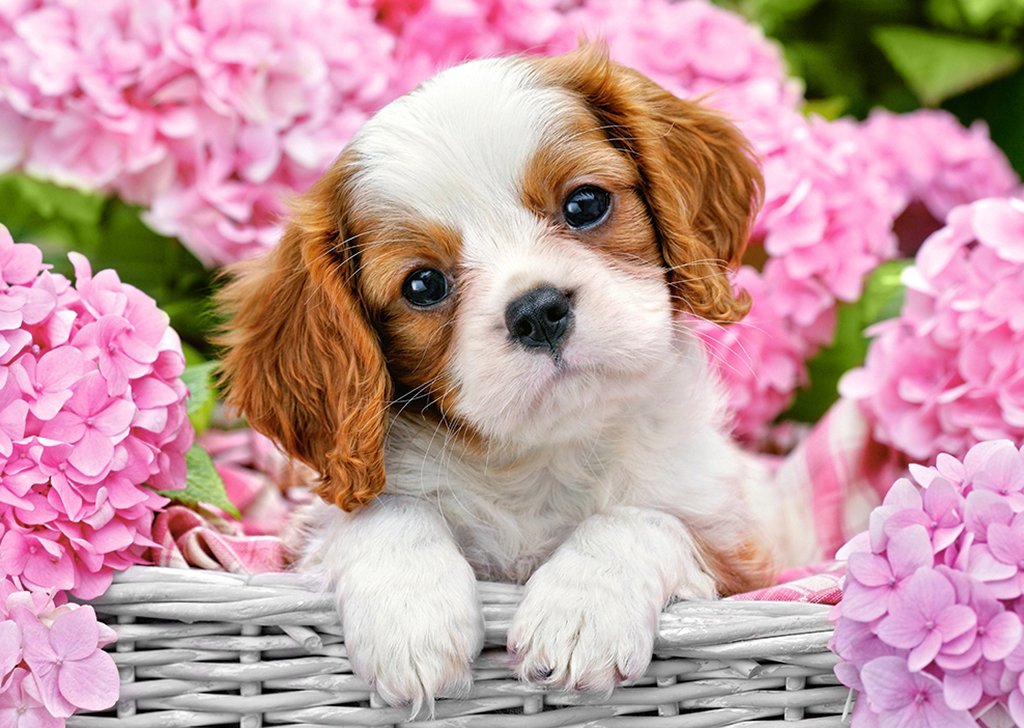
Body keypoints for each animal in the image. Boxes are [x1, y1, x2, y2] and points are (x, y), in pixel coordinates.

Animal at [218, 44, 788, 713]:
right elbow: (384, 512)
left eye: (585, 204)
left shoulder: (741, 558)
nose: (538, 311)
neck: (539, 459)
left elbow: (642, 519)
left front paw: (582, 608)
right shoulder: (303, 540)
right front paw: (411, 615)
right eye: (423, 284)